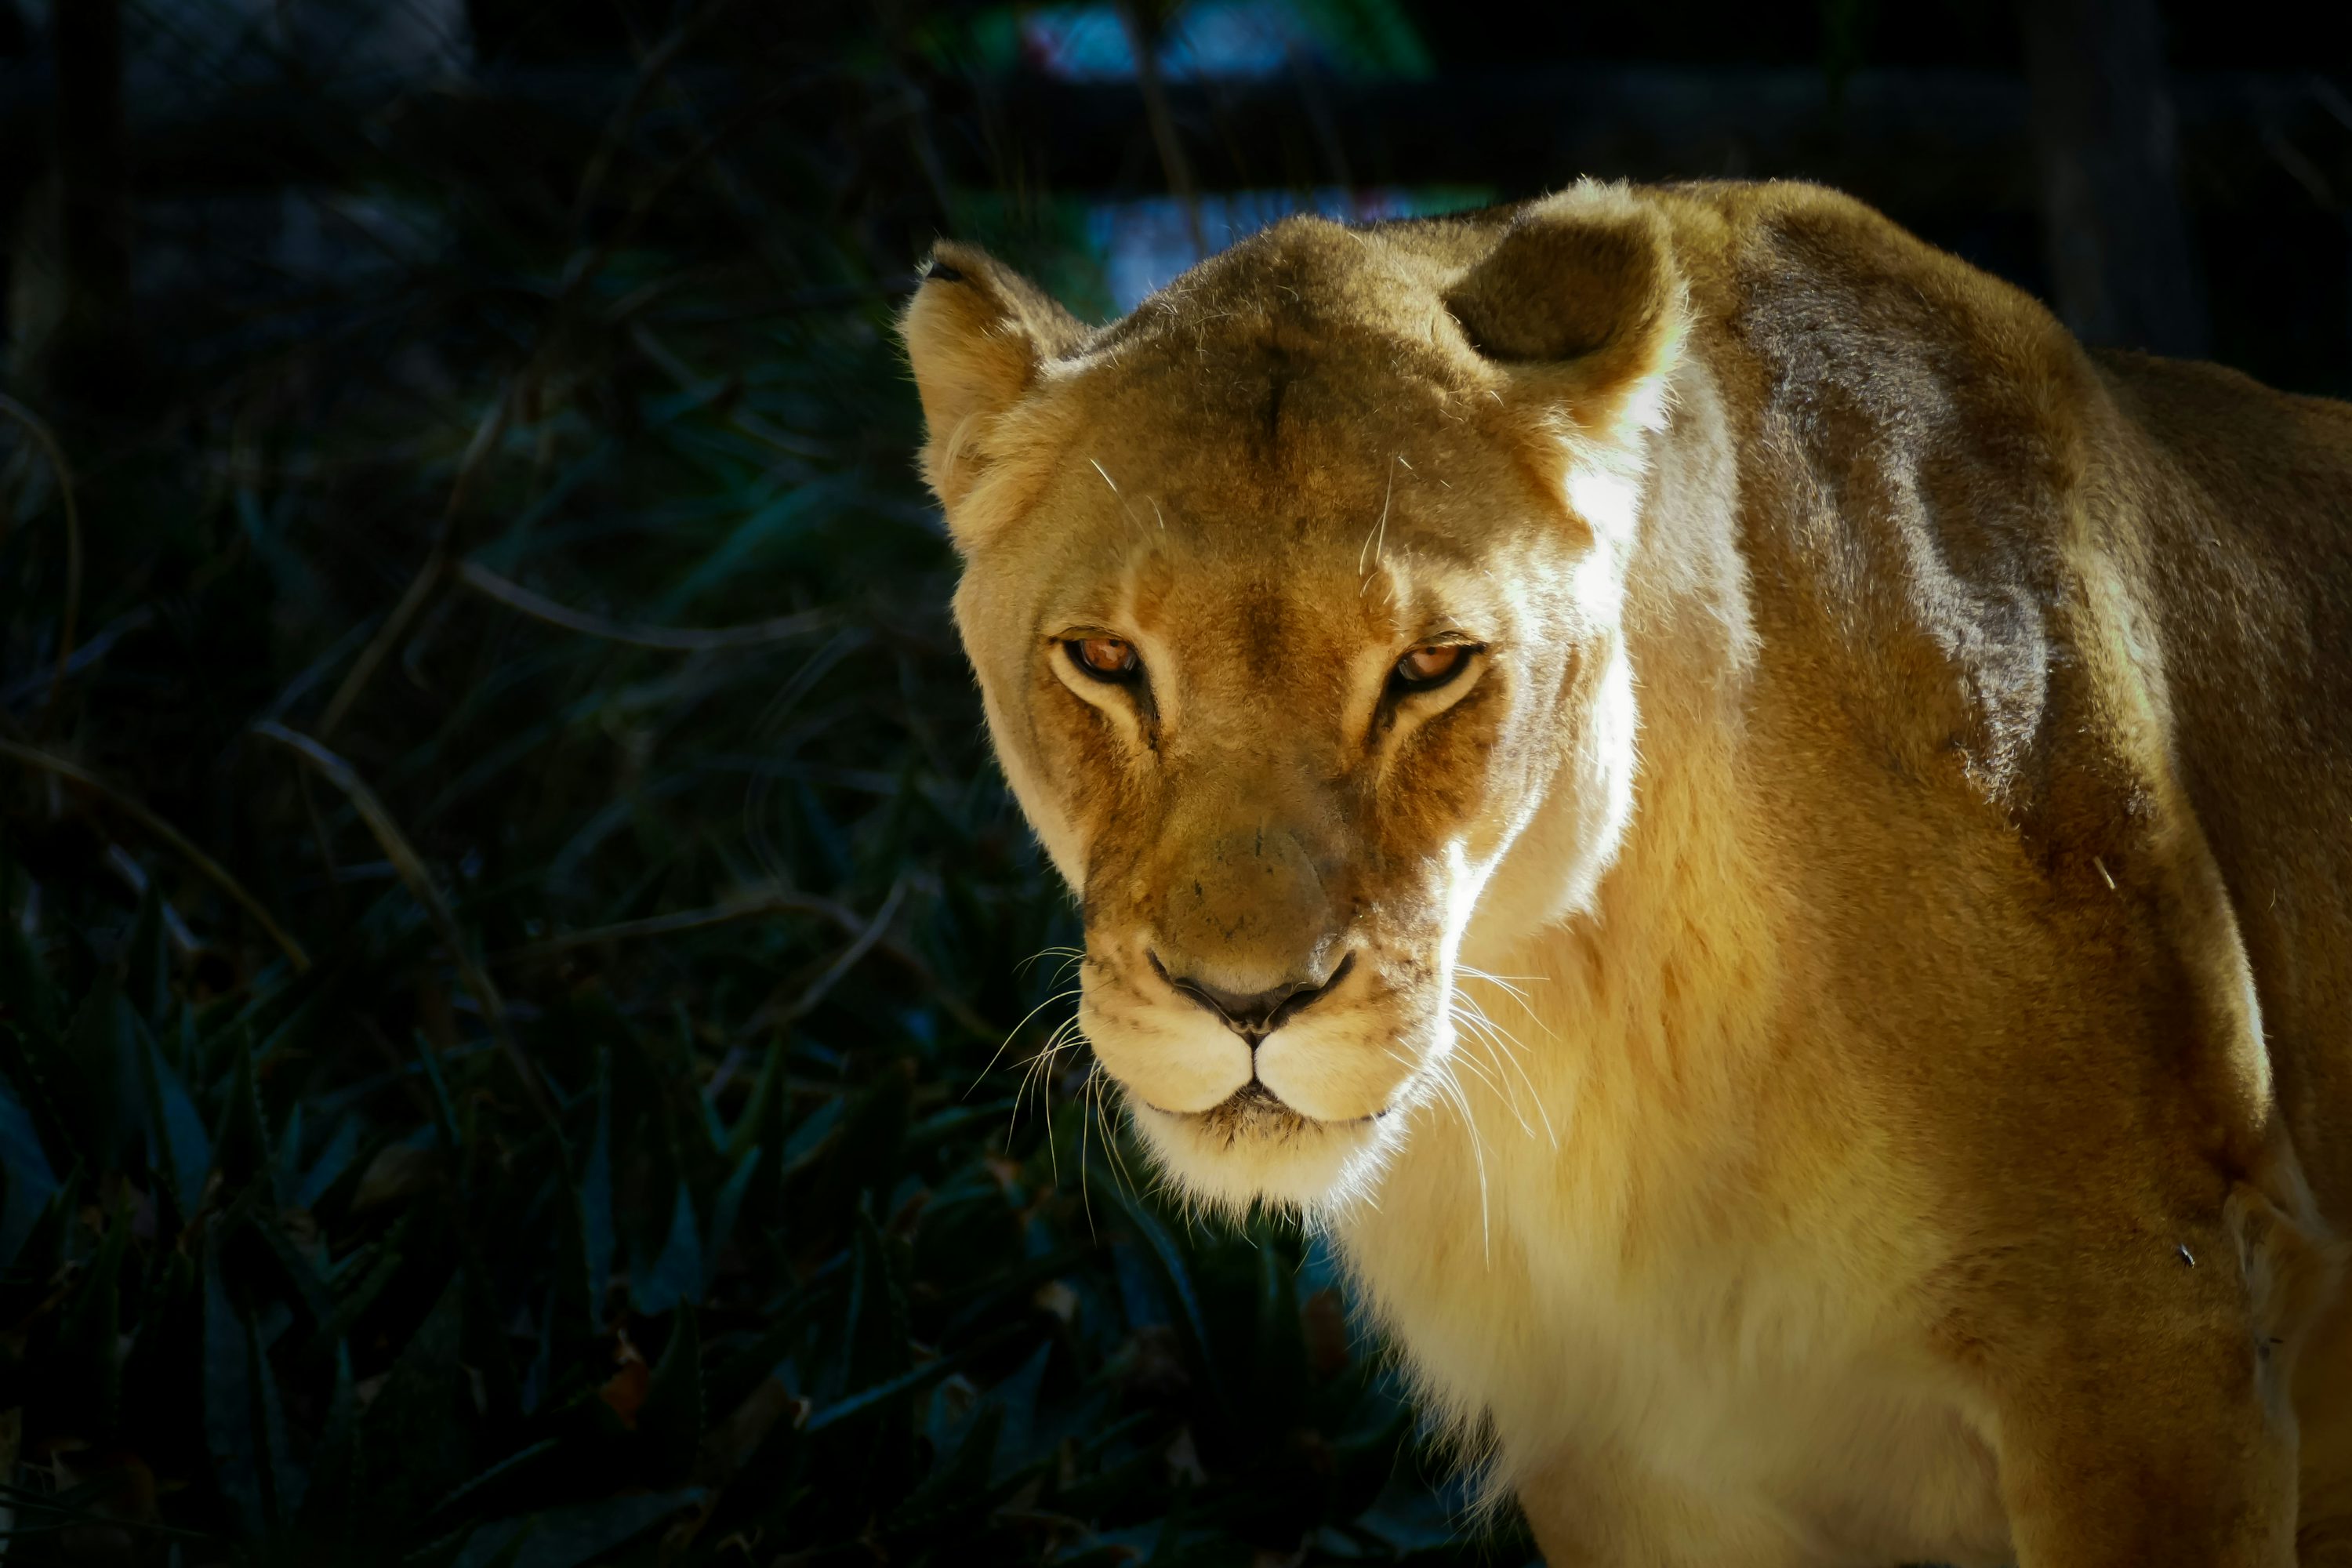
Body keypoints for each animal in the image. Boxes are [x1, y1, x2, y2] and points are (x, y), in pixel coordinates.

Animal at [900, 179, 2352, 1565]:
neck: (1591, 1015)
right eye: (1104, 661)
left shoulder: (2146, 1318)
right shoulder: (1623, 1459)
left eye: (1431, 668)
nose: (1246, 1004)